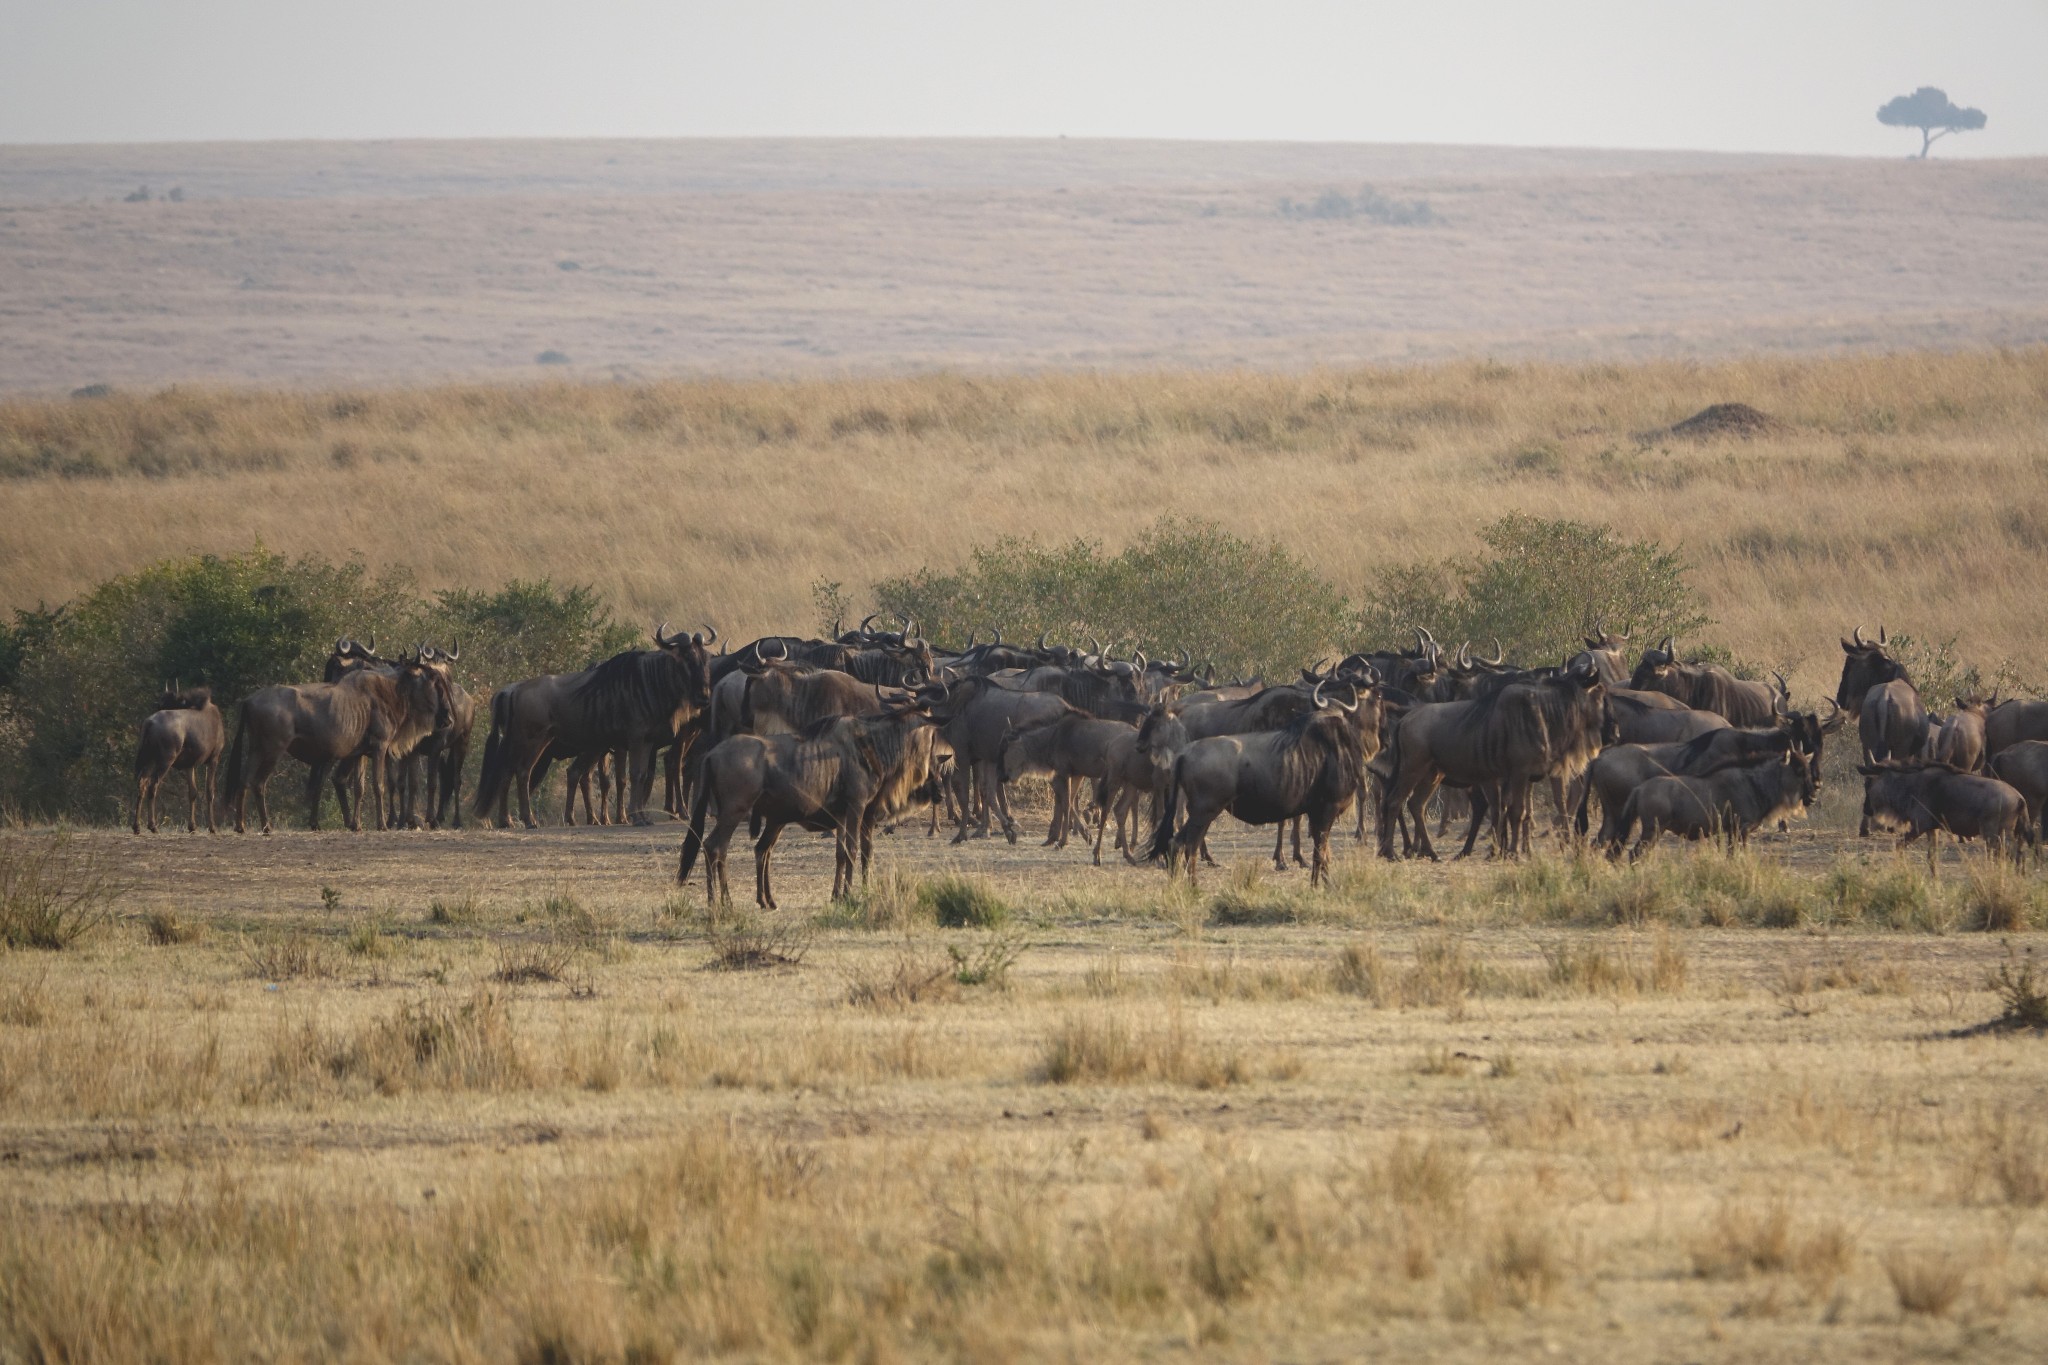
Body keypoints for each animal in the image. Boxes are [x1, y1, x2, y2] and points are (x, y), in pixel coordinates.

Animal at [133, 683, 225, 834]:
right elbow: (209, 791)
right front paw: (212, 827)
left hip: (149, 759)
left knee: (142, 784)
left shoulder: (189, 764)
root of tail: (149, 723)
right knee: (153, 786)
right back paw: (153, 825)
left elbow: (192, 792)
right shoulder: (213, 758)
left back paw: (137, 826)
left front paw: (192, 826)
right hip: (165, 760)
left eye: (167, 702)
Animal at [1613, 749, 1810, 863]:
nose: (1813, 793)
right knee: (1634, 854)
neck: (1752, 782)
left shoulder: (1733, 831)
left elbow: (1732, 855)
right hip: (1652, 830)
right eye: (1799, 770)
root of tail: (1639, 789)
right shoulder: (1741, 829)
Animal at [1867, 757, 2023, 863]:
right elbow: (1932, 858)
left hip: (1994, 834)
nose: (1867, 809)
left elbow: (1899, 847)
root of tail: (2019, 797)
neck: (1912, 784)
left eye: (1870, 782)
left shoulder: (1919, 827)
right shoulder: (1933, 829)